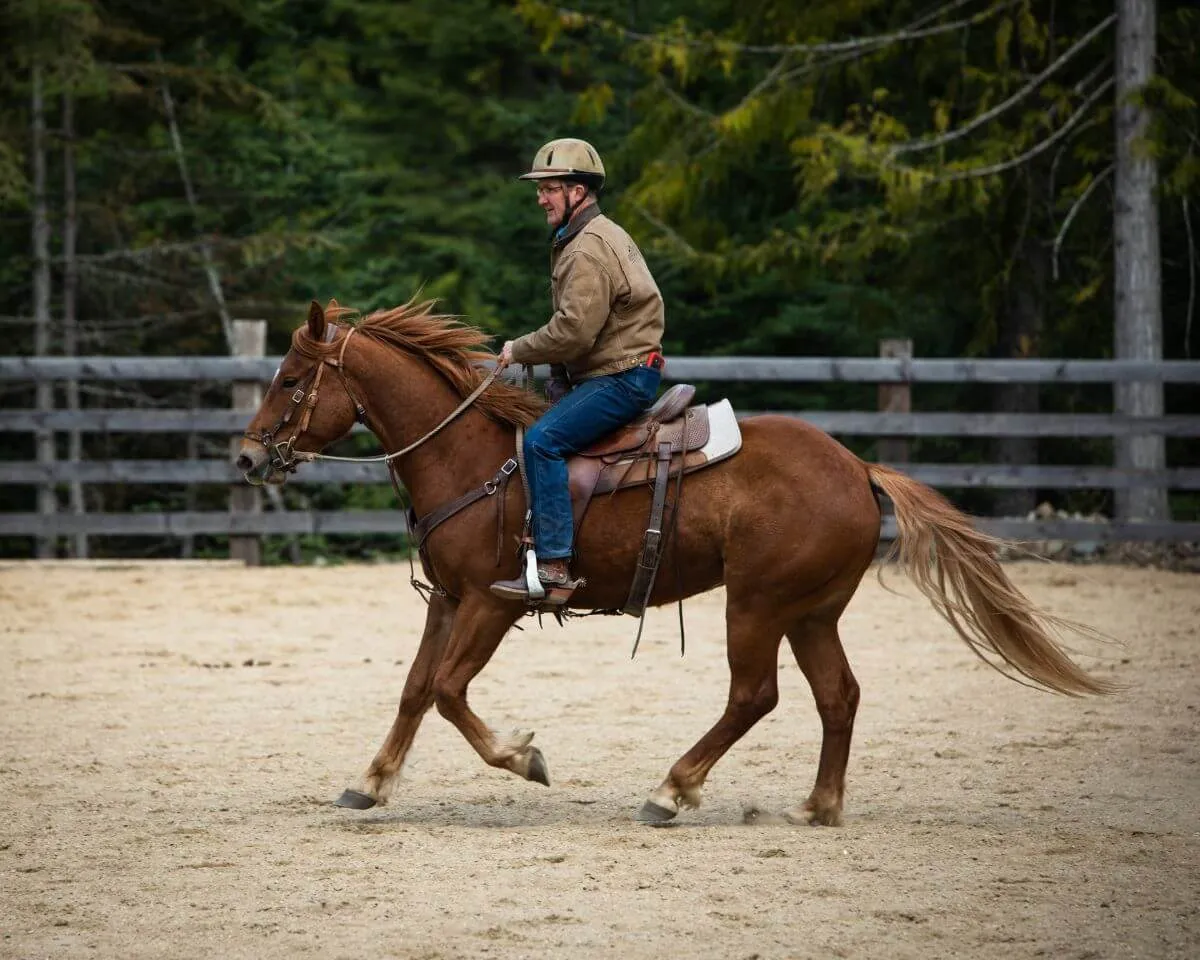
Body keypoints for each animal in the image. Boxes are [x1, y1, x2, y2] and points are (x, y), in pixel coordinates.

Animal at [235, 298, 1115, 826]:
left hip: (756, 605)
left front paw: (524, 758)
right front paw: (372, 781)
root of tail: (857, 466)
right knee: (838, 696)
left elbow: (451, 693)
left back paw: (672, 788)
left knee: (755, 696)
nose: (245, 460)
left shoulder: (492, 601)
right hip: (811, 612)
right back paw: (817, 806)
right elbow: (417, 690)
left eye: (291, 377)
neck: (471, 457)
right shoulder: (447, 601)